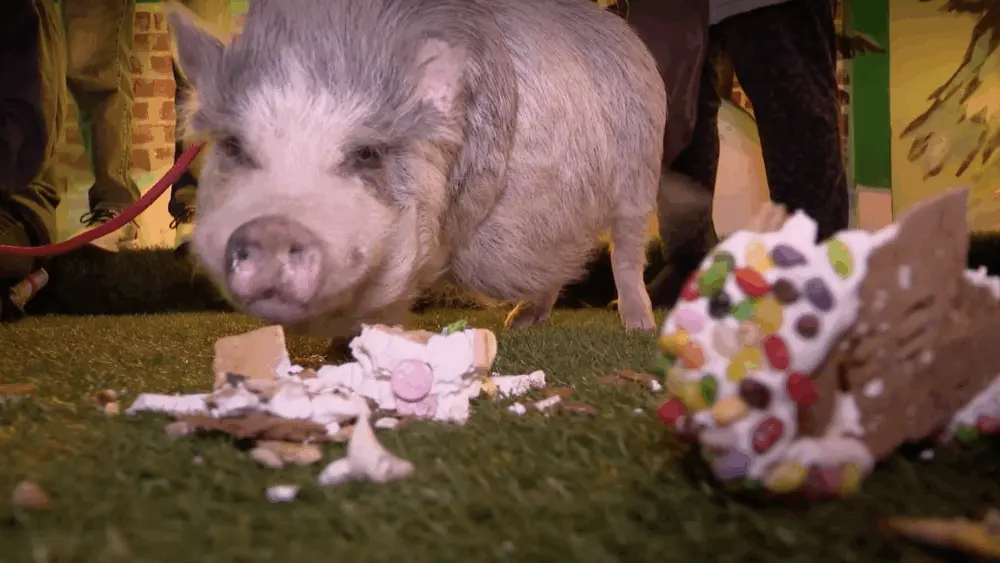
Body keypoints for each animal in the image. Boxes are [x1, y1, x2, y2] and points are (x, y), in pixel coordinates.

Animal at [167, 0, 669, 341]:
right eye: (235, 146)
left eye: (367, 153)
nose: (272, 229)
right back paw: (521, 323)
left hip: (641, 171)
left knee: (625, 253)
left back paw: (638, 326)